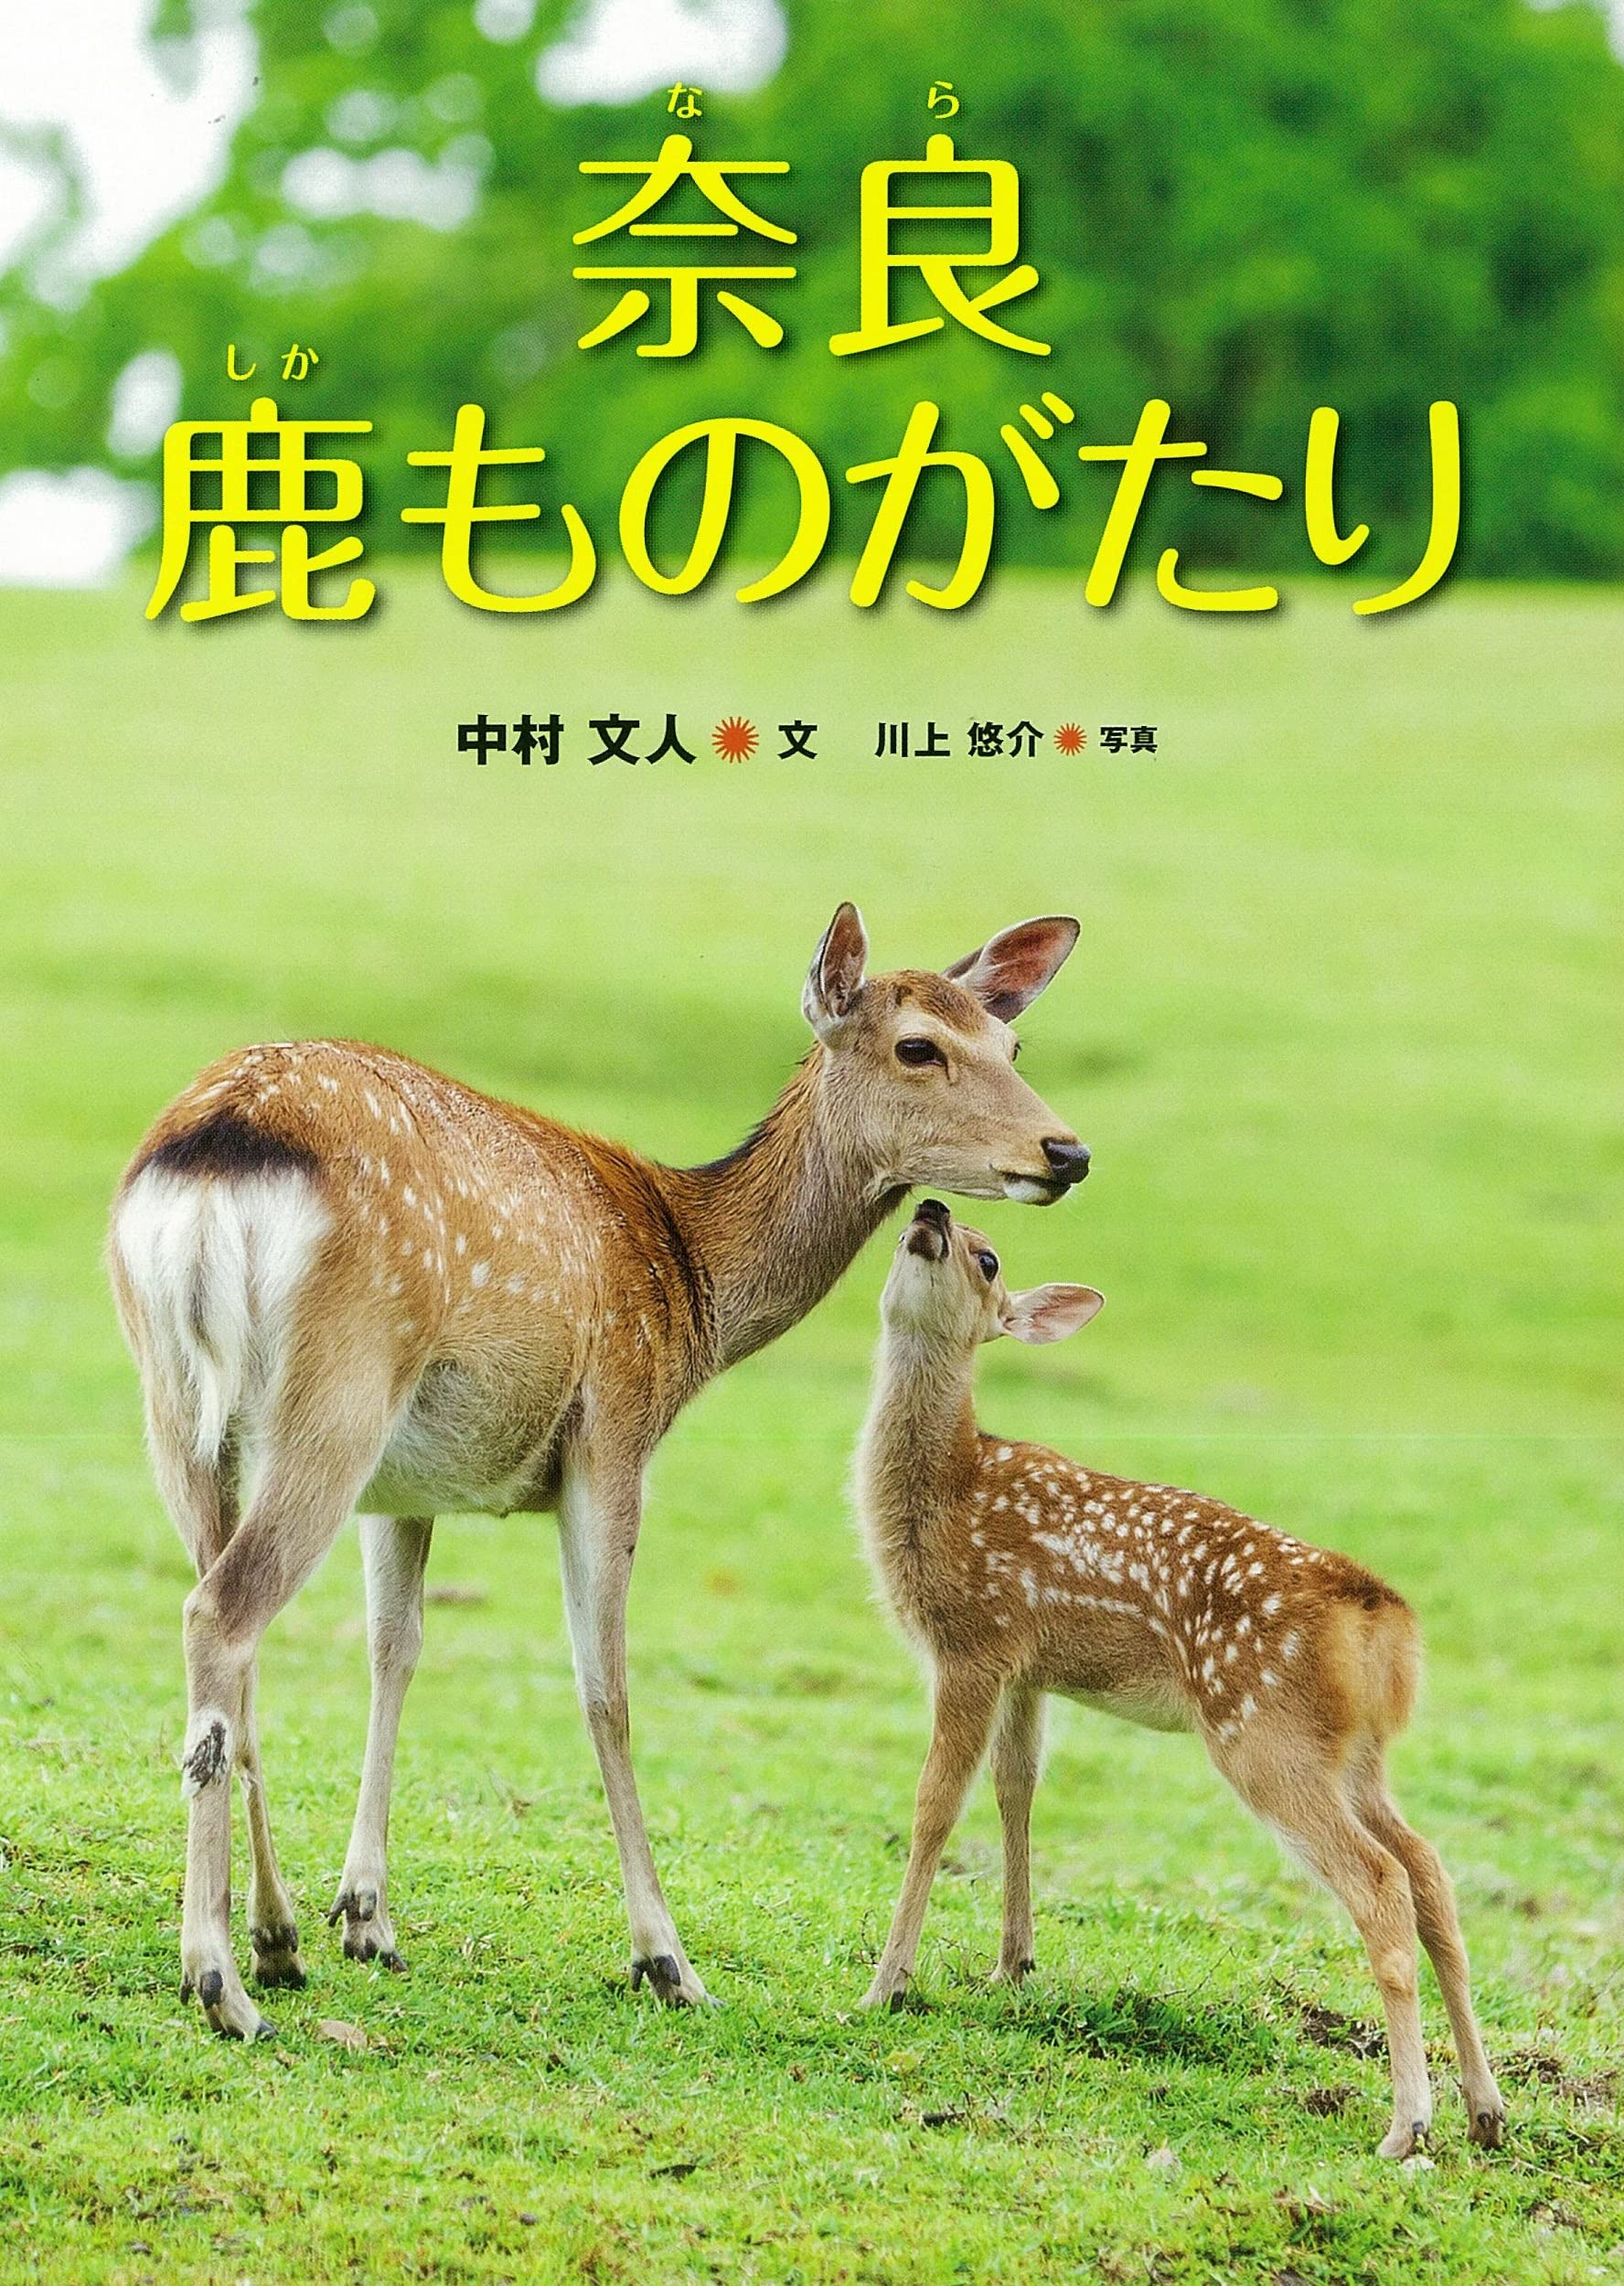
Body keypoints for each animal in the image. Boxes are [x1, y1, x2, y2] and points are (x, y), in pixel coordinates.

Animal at [107, 905, 1091, 2040]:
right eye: (918, 1046)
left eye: (1012, 1044)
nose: (1067, 1149)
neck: (691, 1288)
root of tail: (213, 1156)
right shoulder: (614, 1427)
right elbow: (606, 1687)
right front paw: (666, 1958)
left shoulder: (410, 1481)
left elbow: (396, 1648)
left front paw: (364, 1919)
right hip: (338, 1393)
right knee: (222, 1612)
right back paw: (218, 1978)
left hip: (181, 1408)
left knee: (228, 1625)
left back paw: (270, 1939)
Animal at [854, 1198, 1507, 2161]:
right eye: (926, 1215)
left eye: (988, 1255)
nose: (931, 1210)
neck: (948, 1492)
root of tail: (1382, 1617)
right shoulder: (1028, 1668)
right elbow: (1017, 1790)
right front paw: (1012, 1966)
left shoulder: (973, 1641)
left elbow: (936, 1804)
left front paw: (887, 1984)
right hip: (1352, 1753)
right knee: (1429, 1871)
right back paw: (1484, 2109)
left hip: (1259, 1730)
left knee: (1382, 1883)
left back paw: (1406, 2124)